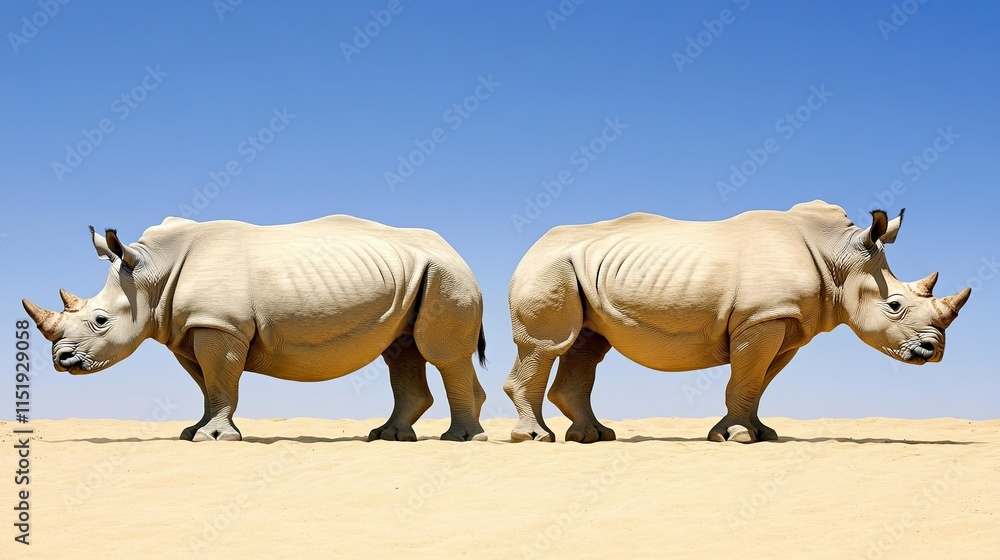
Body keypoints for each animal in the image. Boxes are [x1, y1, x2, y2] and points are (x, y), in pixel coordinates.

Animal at [23, 215, 488, 442]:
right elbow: (208, 385)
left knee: (441, 353)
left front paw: (215, 438)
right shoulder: (191, 328)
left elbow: (221, 380)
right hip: (418, 277)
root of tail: (455, 251)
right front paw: (193, 433)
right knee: (402, 350)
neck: (152, 275)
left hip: (446, 277)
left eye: (100, 321)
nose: (61, 359)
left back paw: (460, 440)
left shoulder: (220, 324)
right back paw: (388, 437)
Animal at [504, 201, 972, 443]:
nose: (933, 352)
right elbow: (746, 377)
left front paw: (760, 434)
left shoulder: (786, 322)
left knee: (587, 344)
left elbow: (758, 382)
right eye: (894, 306)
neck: (840, 259)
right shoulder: (762, 317)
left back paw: (595, 437)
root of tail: (535, 243)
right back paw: (536, 439)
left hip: (581, 271)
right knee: (547, 346)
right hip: (549, 267)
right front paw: (739, 439)